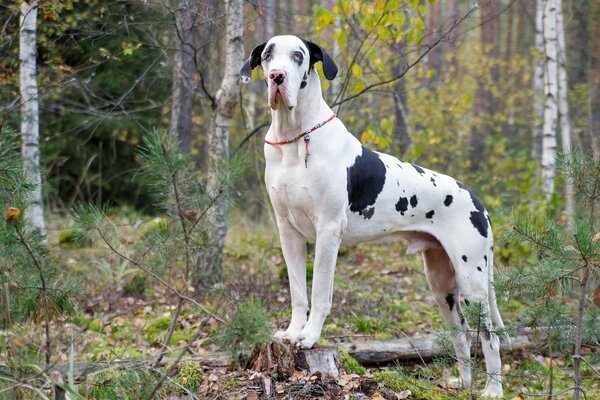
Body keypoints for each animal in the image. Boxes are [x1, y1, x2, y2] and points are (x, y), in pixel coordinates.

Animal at [239, 36, 506, 398]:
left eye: (298, 56)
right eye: (268, 55)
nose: (276, 77)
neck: (295, 138)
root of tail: (478, 201)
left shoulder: (328, 232)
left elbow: (319, 293)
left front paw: (310, 336)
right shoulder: (288, 232)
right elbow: (297, 292)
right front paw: (293, 332)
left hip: (473, 280)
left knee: (489, 337)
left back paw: (492, 388)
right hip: (442, 285)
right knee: (462, 333)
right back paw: (462, 383)